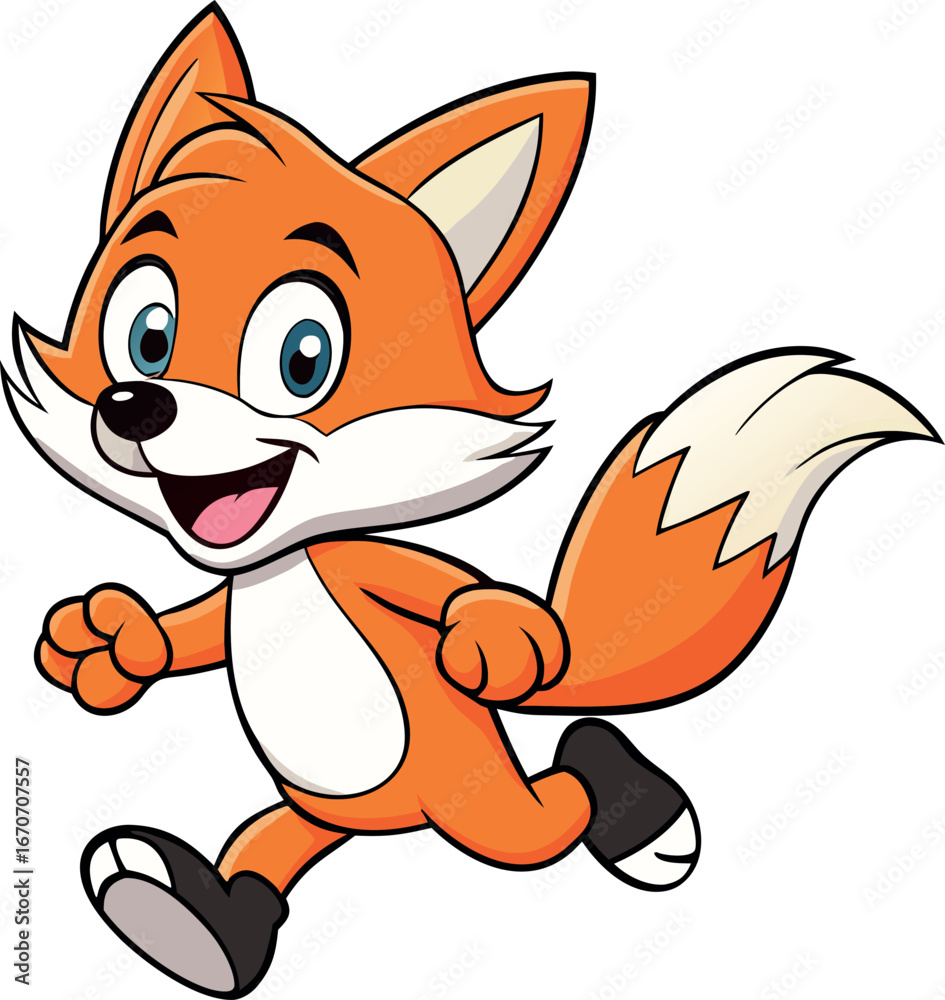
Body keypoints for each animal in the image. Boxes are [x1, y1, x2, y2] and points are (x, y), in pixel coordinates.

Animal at [2, 5, 939, 997]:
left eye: (303, 357)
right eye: (147, 335)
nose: (135, 404)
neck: (282, 576)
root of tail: (396, 821)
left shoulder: (371, 567)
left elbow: (443, 589)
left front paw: (498, 635)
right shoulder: (230, 605)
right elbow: (191, 633)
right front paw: (111, 643)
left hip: (477, 800)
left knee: (551, 814)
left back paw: (633, 804)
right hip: (321, 808)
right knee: (270, 846)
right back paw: (186, 921)